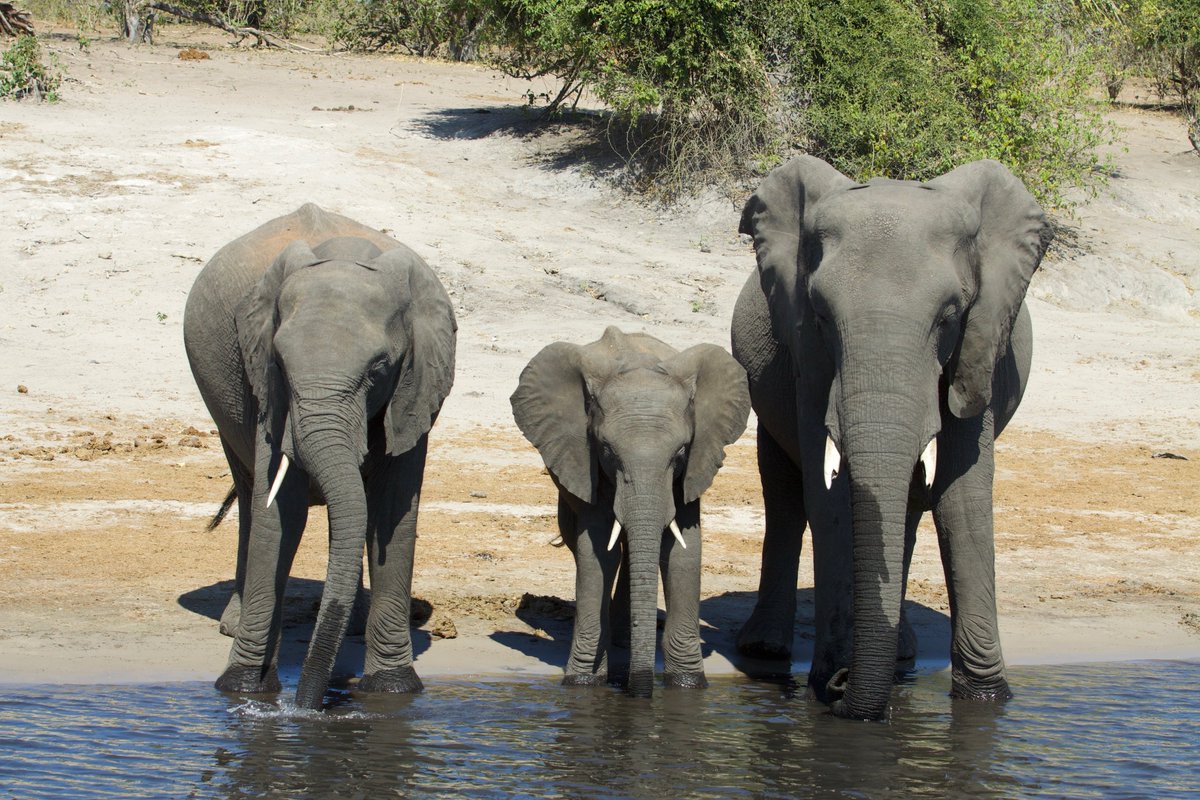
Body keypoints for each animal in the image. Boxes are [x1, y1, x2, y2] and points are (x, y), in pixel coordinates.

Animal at [183, 203, 456, 709]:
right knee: (250, 494)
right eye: (281, 363)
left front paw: (392, 690)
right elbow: (280, 509)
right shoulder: (265, 386)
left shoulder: (415, 386)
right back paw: (235, 621)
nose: (306, 707)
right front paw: (244, 687)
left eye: (379, 368)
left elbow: (391, 511)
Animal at [510, 327, 750, 696]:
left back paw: (626, 639)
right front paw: (583, 682)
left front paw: (688, 684)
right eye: (608, 450)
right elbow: (597, 551)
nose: (636, 693)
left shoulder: (695, 462)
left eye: (681, 452)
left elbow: (682, 552)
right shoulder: (587, 460)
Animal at [731, 156, 1052, 720]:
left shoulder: (981, 348)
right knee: (785, 497)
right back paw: (766, 649)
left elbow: (961, 499)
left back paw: (900, 652)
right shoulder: (807, 358)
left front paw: (986, 698)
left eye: (949, 316)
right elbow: (831, 499)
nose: (841, 687)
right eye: (820, 315)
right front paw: (830, 682)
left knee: (910, 508)